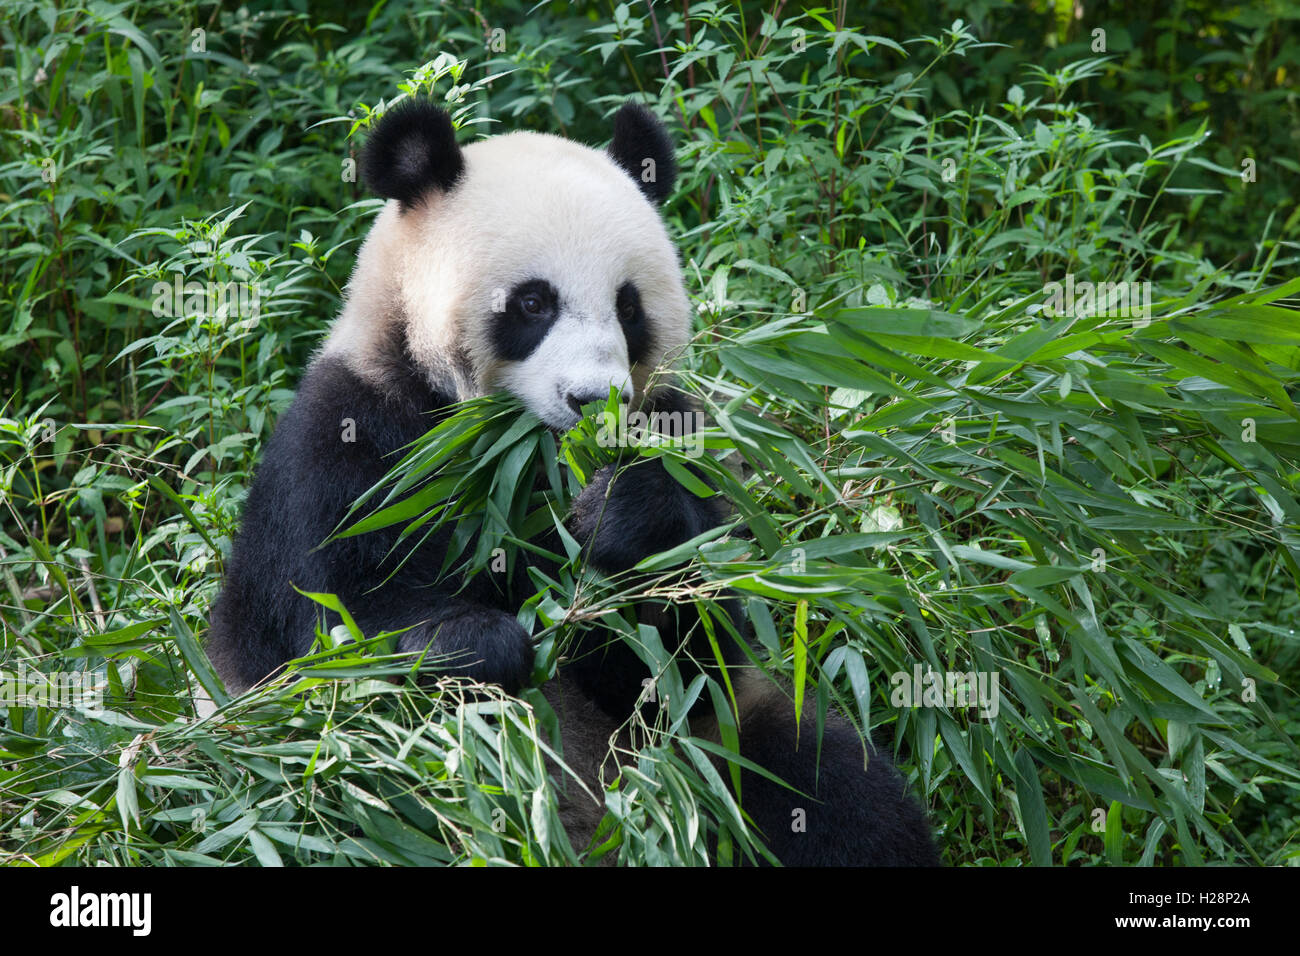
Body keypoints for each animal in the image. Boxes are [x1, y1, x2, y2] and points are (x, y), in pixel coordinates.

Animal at [205, 98, 935, 868]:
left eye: (629, 306)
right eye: (533, 303)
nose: (595, 401)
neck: (524, 457)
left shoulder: (681, 436)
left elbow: (686, 654)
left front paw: (622, 517)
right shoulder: (351, 437)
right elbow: (332, 623)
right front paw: (479, 643)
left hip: (720, 755)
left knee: (833, 792)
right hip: (324, 799)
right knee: (343, 808)